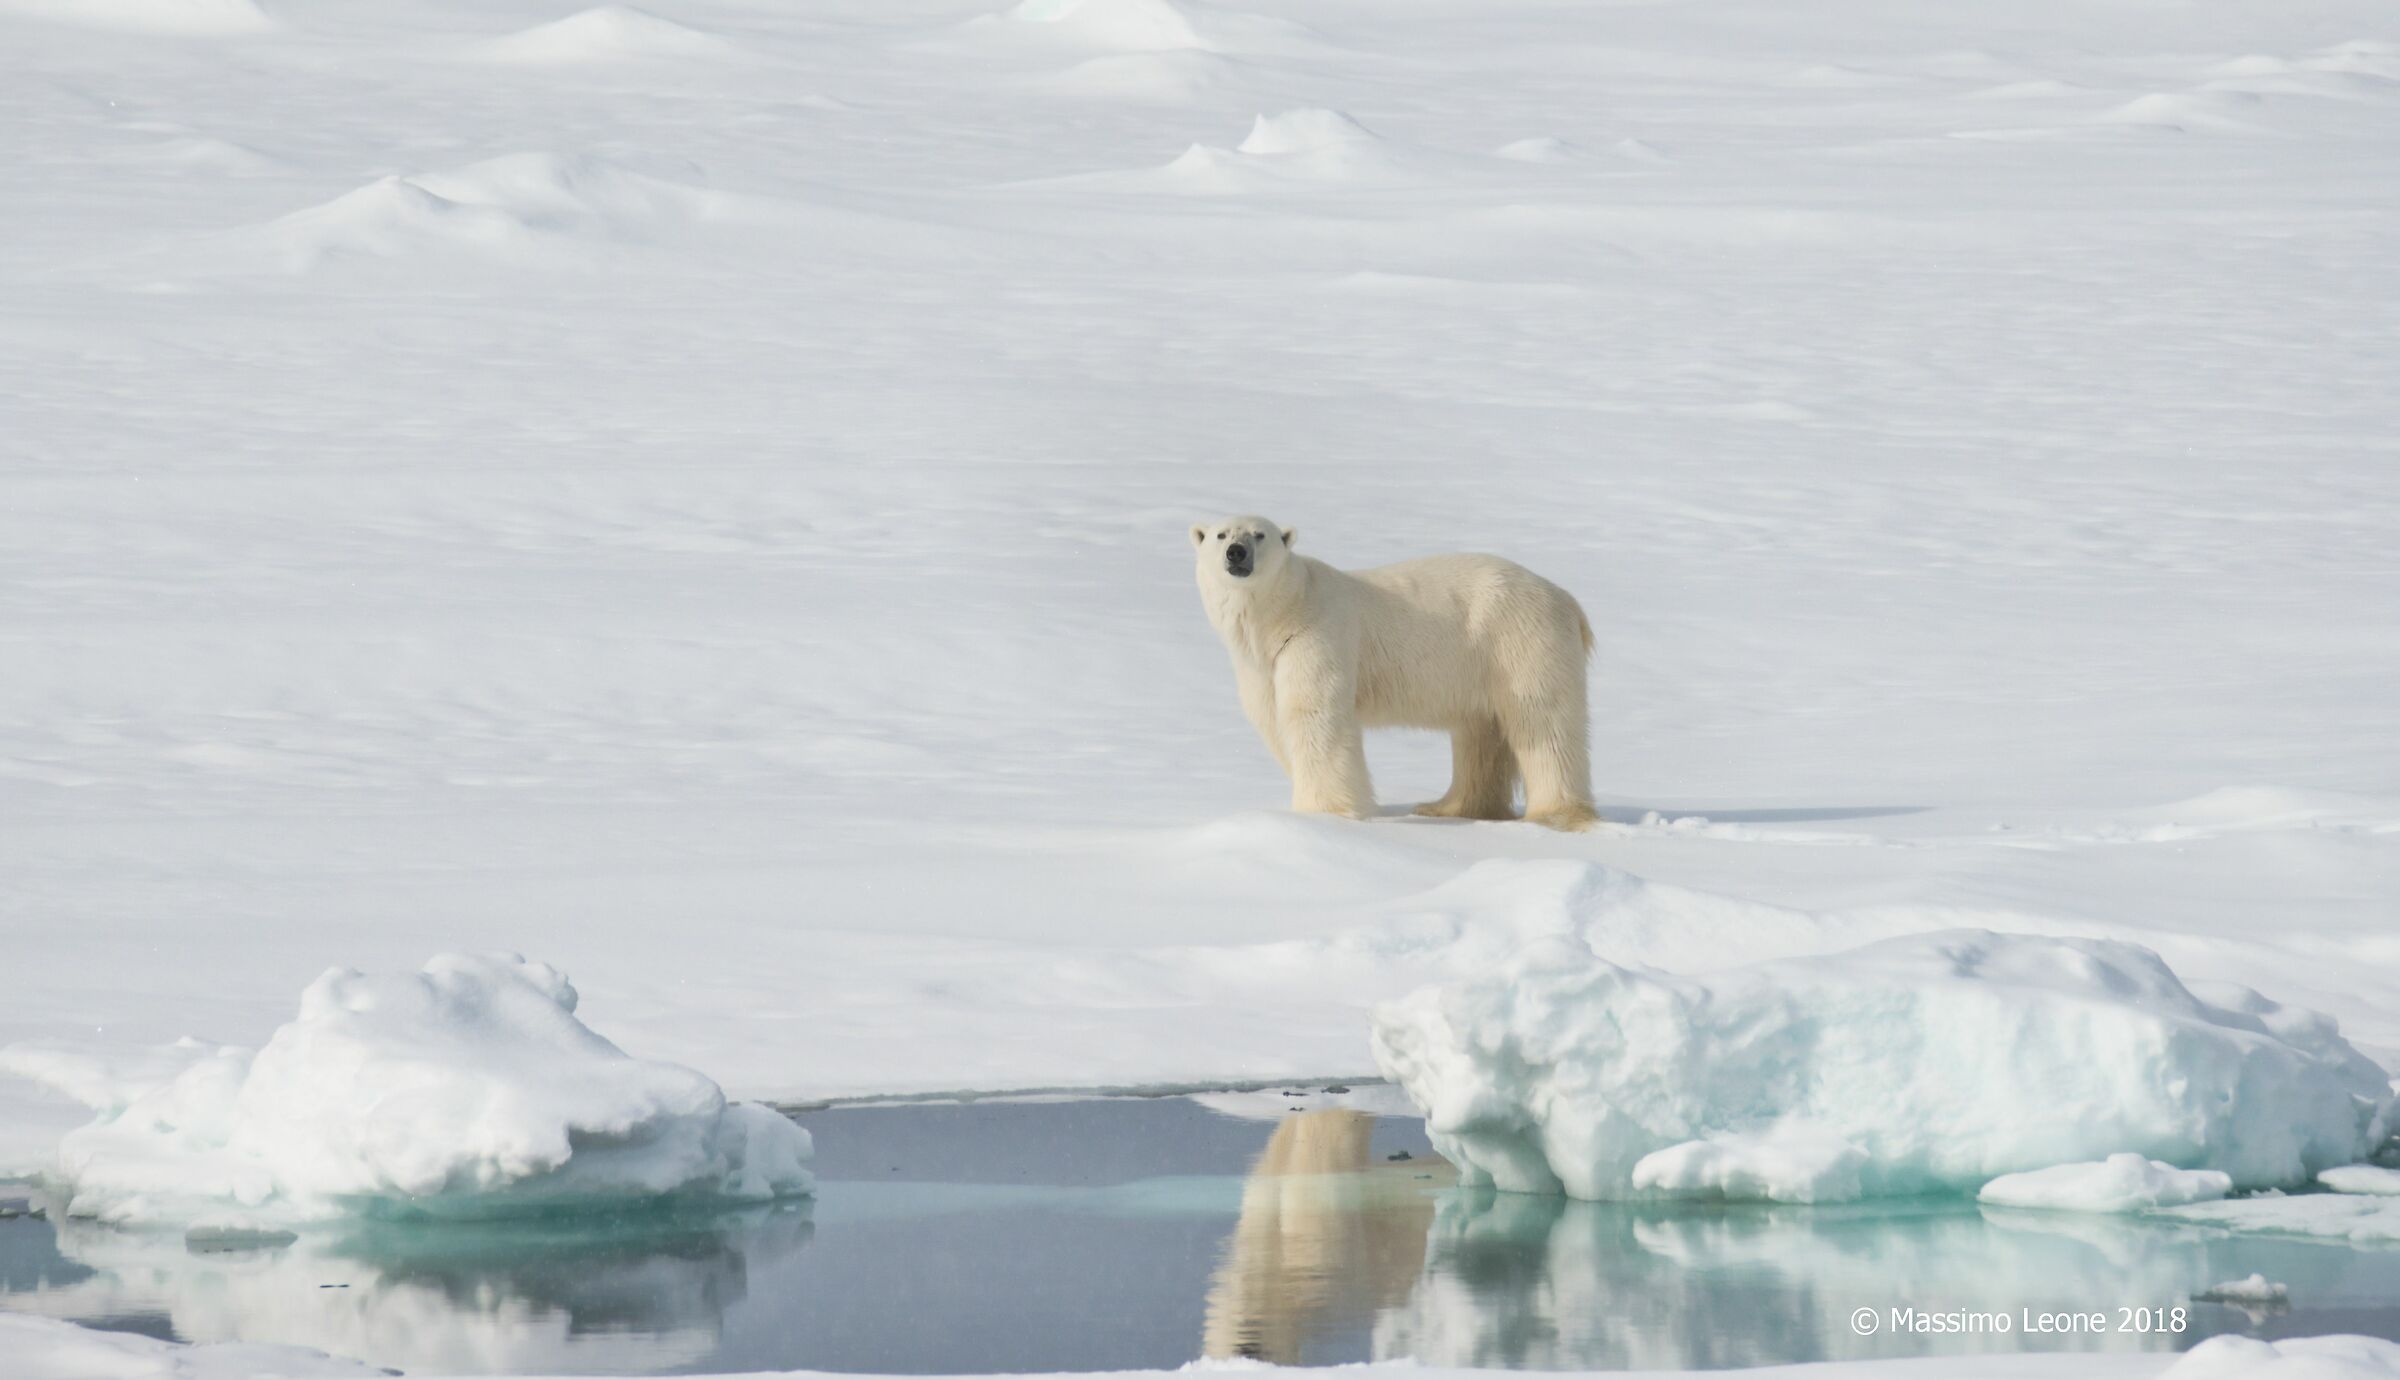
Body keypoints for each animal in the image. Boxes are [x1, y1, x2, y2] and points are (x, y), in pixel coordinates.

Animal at [1191, 515, 1599, 831]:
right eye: (1221, 535)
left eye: (1260, 534)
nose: (1237, 553)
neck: (1282, 614)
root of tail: (1567, 599)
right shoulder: (1261, 664)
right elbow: (1272, 718)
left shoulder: (1316, 635)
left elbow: (1314, 715)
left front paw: (1324, 813)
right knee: (1480, 730)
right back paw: (1448, 807)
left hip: (1519, 640)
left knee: (1544, 723)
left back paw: (1555, 815)